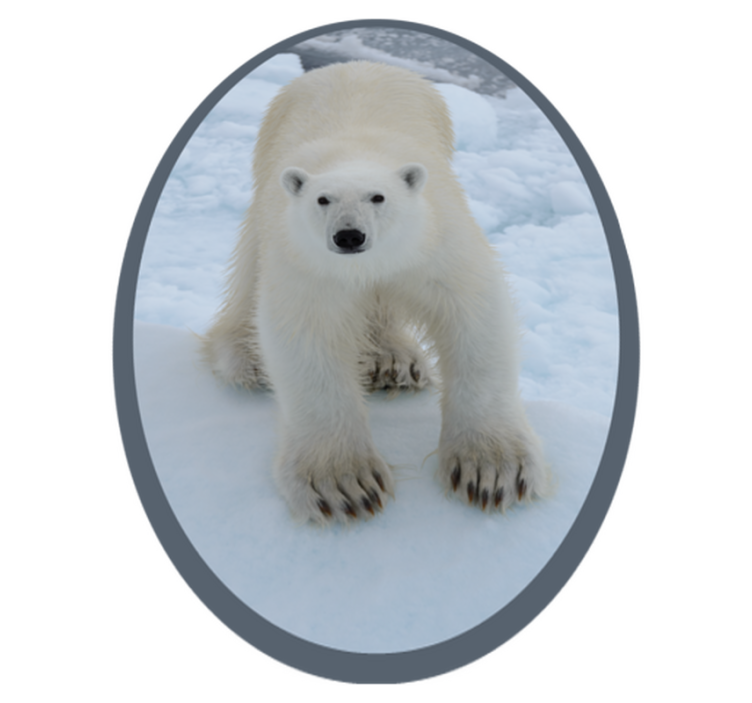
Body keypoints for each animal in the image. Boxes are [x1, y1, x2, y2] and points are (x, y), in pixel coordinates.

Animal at [201, 60, 549, 524]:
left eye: (378, 197)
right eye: (323, 200)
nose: (350, 236)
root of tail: (352, 63)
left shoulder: (434, 240)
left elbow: (472, 310)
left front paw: (493, 470)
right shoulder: (307, 262)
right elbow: (306, 337)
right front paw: (343, 484)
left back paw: (394, 362)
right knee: (249, 265)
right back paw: (245, 356)